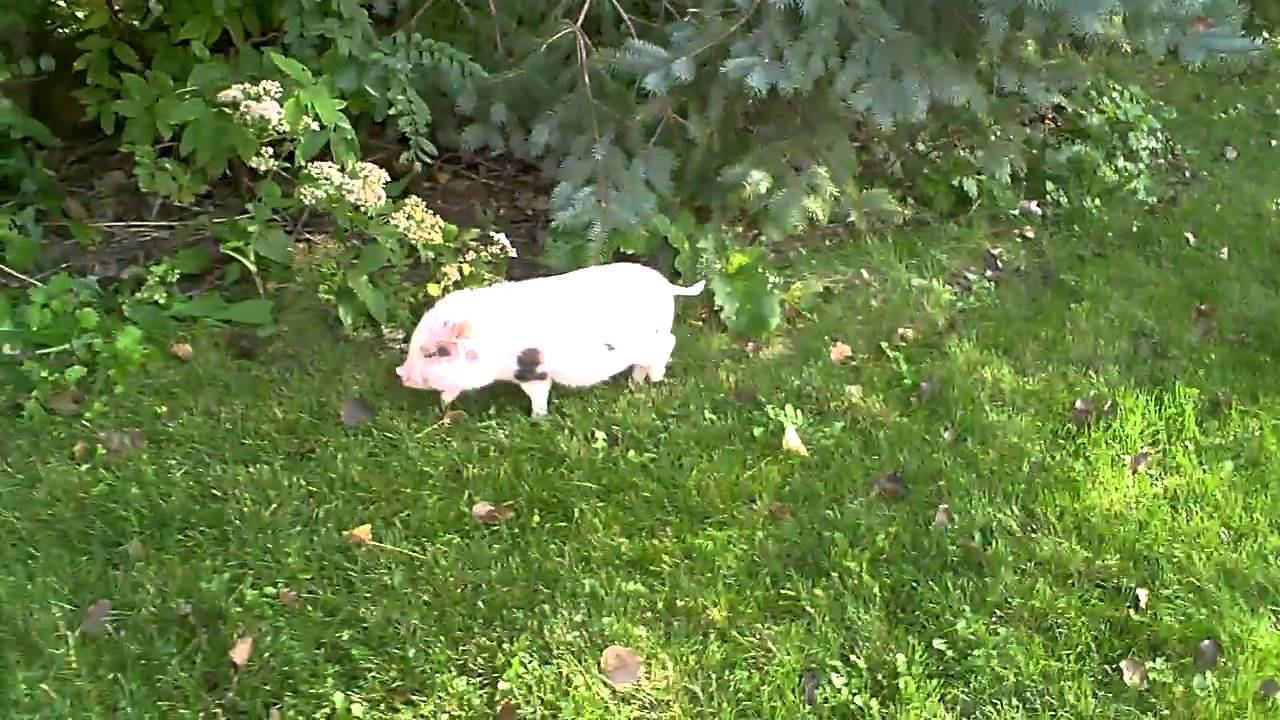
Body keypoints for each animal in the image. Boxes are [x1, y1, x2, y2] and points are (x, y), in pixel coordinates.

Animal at [395, 262, 705, 417]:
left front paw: (537, 419)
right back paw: (636, 384)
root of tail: (667, 286)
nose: (400, 373)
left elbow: (539, 394)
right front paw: (445, 405)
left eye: (435, 352)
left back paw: (654, 378)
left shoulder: (532, 369)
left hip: (651, 339)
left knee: (669, 343)